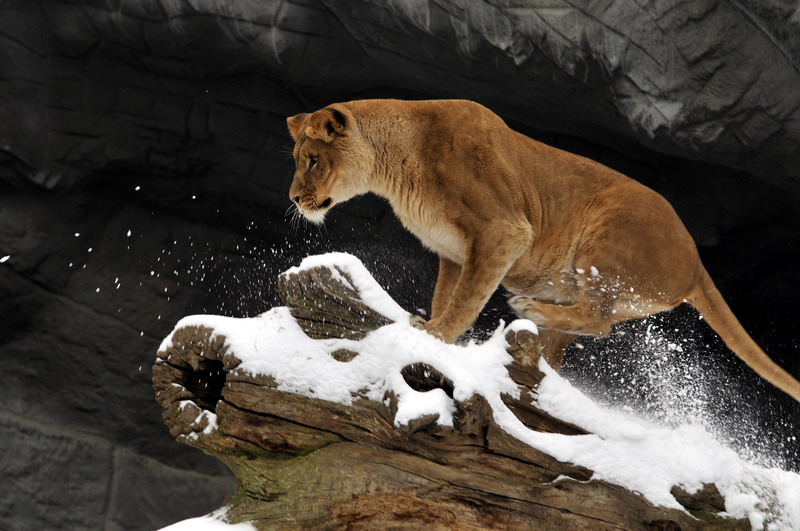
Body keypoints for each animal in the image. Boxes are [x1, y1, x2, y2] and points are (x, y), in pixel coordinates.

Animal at [286, 98, 800, 403]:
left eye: (311, 160)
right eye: (298, 159)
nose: (293, 198)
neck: (397, 162)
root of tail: (697, 264)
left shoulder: (504, 231)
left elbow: (467, 299)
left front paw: (436, 337)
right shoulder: (454, 252)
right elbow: (448, 294)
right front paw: (430, 327)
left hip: (605, 237)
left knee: (599, 319)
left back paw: (528, 308)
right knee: (565, 346)